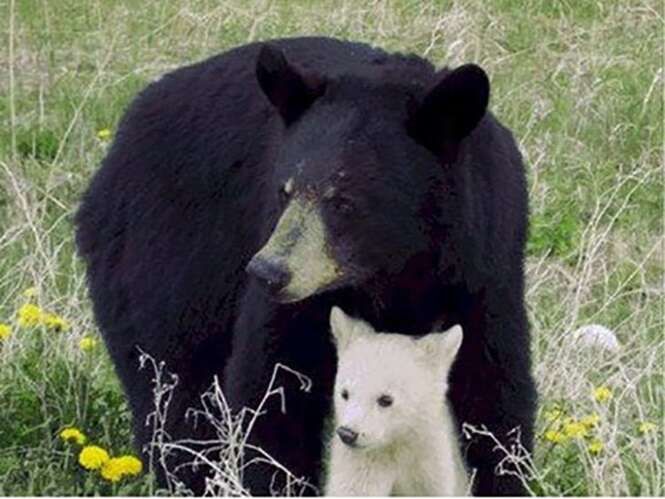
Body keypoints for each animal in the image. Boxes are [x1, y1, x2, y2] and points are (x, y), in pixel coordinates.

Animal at [75, 36, 536, 496]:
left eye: (344, 201)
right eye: (285, 190)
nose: (268, 272)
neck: (395, 270)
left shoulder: (482, 268)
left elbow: (494, 393)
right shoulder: (298, 297)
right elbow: (273, 391)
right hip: (163, 260)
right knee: (173, 388)